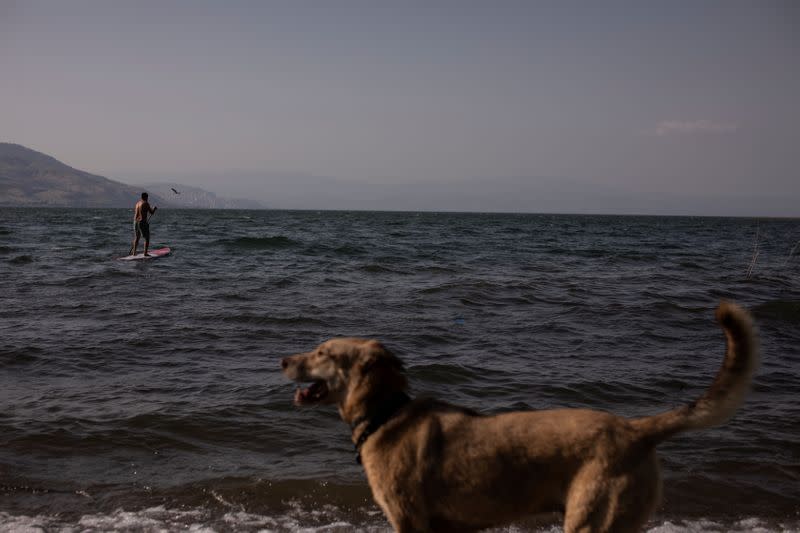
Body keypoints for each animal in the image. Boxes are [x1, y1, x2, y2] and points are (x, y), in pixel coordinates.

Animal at [282, 304, 756, 532]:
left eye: (323, 352)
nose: (283, 359)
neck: (385, 413)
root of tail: (635, 430)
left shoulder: (410, 521)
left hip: (592, 519)